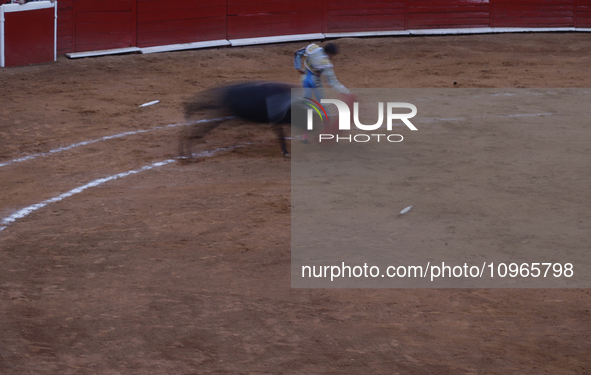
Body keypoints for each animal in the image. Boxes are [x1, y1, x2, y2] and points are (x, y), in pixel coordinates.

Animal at [180, 82, 346, 159]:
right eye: (308, 118)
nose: (320, 130)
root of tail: (228, 90)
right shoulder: (277, 121)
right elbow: (280, 136)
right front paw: (286, 152)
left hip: (223, 110)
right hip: (222, 111)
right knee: (198, 126)